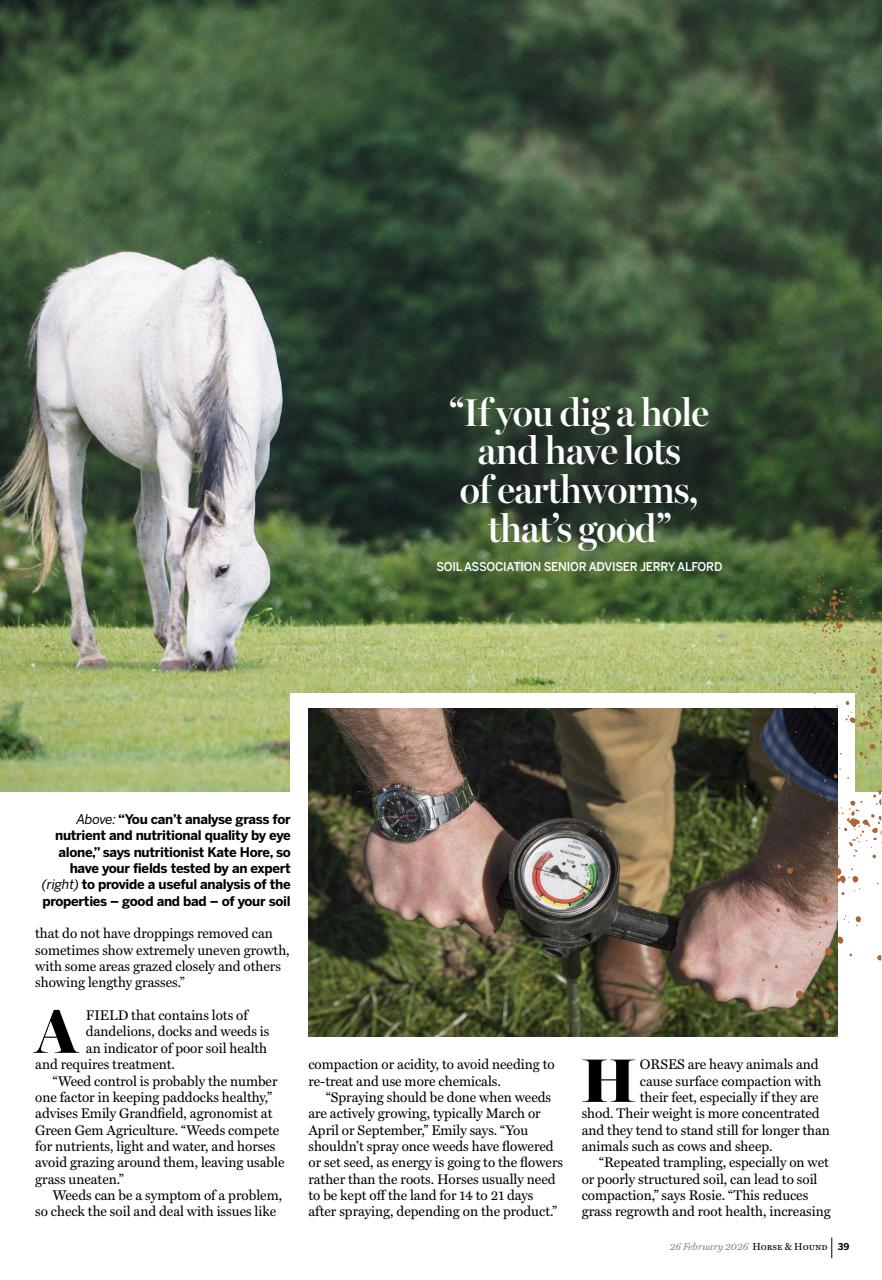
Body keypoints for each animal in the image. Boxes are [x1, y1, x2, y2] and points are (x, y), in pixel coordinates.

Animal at [0, 252, 282, 670]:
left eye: (222, 569)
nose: (206, 655)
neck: (214, 336)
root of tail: (65, 287)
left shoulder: (259, 453)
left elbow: (163, 540)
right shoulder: (174, 451)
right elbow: (175, 548)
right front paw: (175, 655)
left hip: (149, 460)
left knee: (147, 533)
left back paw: (160, 631)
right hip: (64, 430)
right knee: (72, 533)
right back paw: (89, 649)